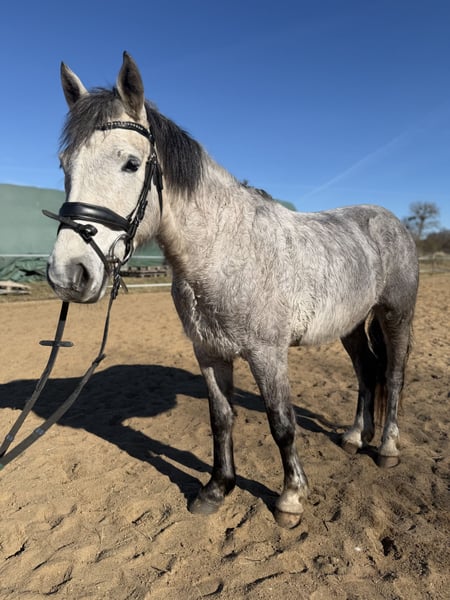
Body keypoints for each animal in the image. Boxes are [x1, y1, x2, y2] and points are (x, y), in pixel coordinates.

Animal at [47, 52, 419, 528]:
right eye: (64, 165)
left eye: (130, 163)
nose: (68, 273)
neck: (224, 251)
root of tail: (391, 221)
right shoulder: (209, 352)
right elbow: (221, 418)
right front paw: (217, 488)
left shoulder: (267, 354)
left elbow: (282, 423)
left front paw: (290, 498)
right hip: (350, 325)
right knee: (367, 372)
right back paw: (355, 437)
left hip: (396, 316)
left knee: (392, 374)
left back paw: (386, 447)